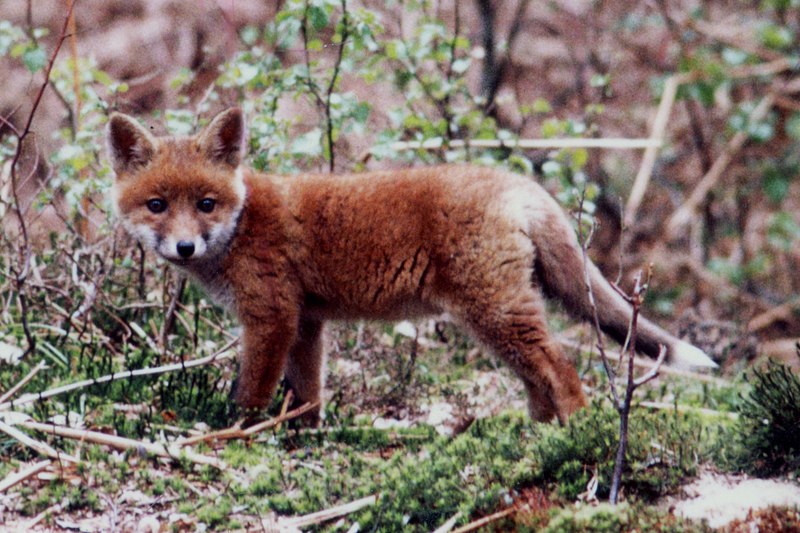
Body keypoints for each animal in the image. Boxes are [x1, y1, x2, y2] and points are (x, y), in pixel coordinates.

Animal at [104, 107, 712, 424]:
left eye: (206, 204)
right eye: (157, 205)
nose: (185, 247)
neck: (242, 222)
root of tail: (517, 182)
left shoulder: (271, 317)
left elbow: (252, 394)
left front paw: (237, 437)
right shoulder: (307, 323)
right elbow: (307, 397)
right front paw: (300, 440)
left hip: (495, 313)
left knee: (562, 370)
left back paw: (583, 434)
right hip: (497, 322)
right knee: (539, 381)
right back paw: (536, 439)